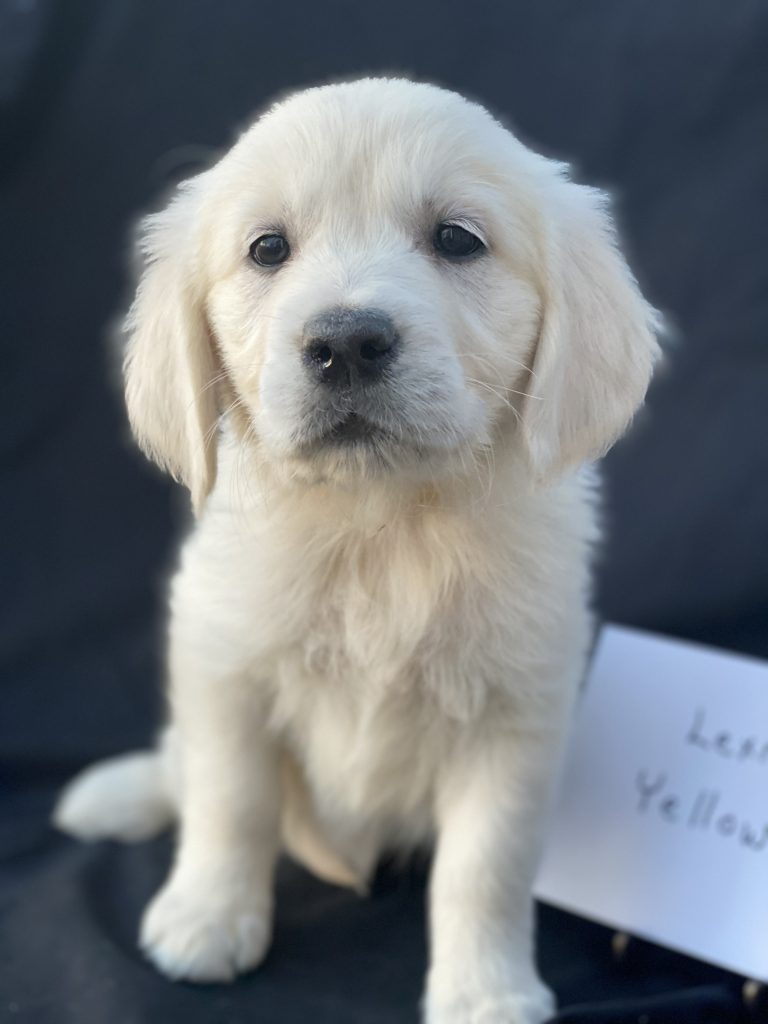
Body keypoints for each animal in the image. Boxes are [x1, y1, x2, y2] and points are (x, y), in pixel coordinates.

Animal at [54, 77, 661, 1024]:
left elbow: (485, 867)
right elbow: (229, 801)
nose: (343, 343)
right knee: (178, 767)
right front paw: (207, 920)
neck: (384, 528)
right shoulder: (222, 663)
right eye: (268, 249)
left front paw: (485, 992)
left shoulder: (516, 717)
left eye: (457, 239)